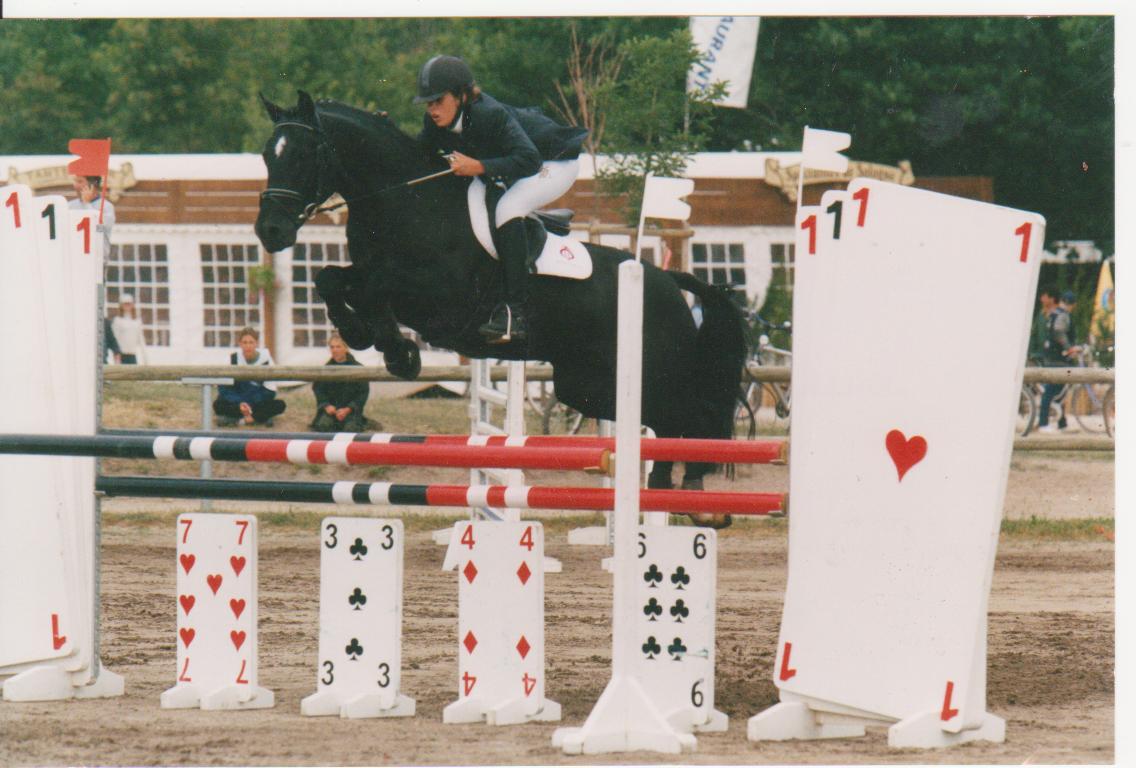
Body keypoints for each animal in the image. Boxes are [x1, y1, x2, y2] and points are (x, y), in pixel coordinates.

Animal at [254, 91, 747, 515]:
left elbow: (375, 290)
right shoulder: (374, 275)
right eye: (266, 156)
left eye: (303, 155)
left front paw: (398, 351)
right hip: (585, 384)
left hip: (650, 371)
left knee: (688, 414)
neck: (406, 201)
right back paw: (668, 490)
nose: (270, 231)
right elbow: (331, 279)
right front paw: (364, 335)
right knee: (661, 422)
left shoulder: (438, 298)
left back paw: (697, 494)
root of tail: (666, 280)